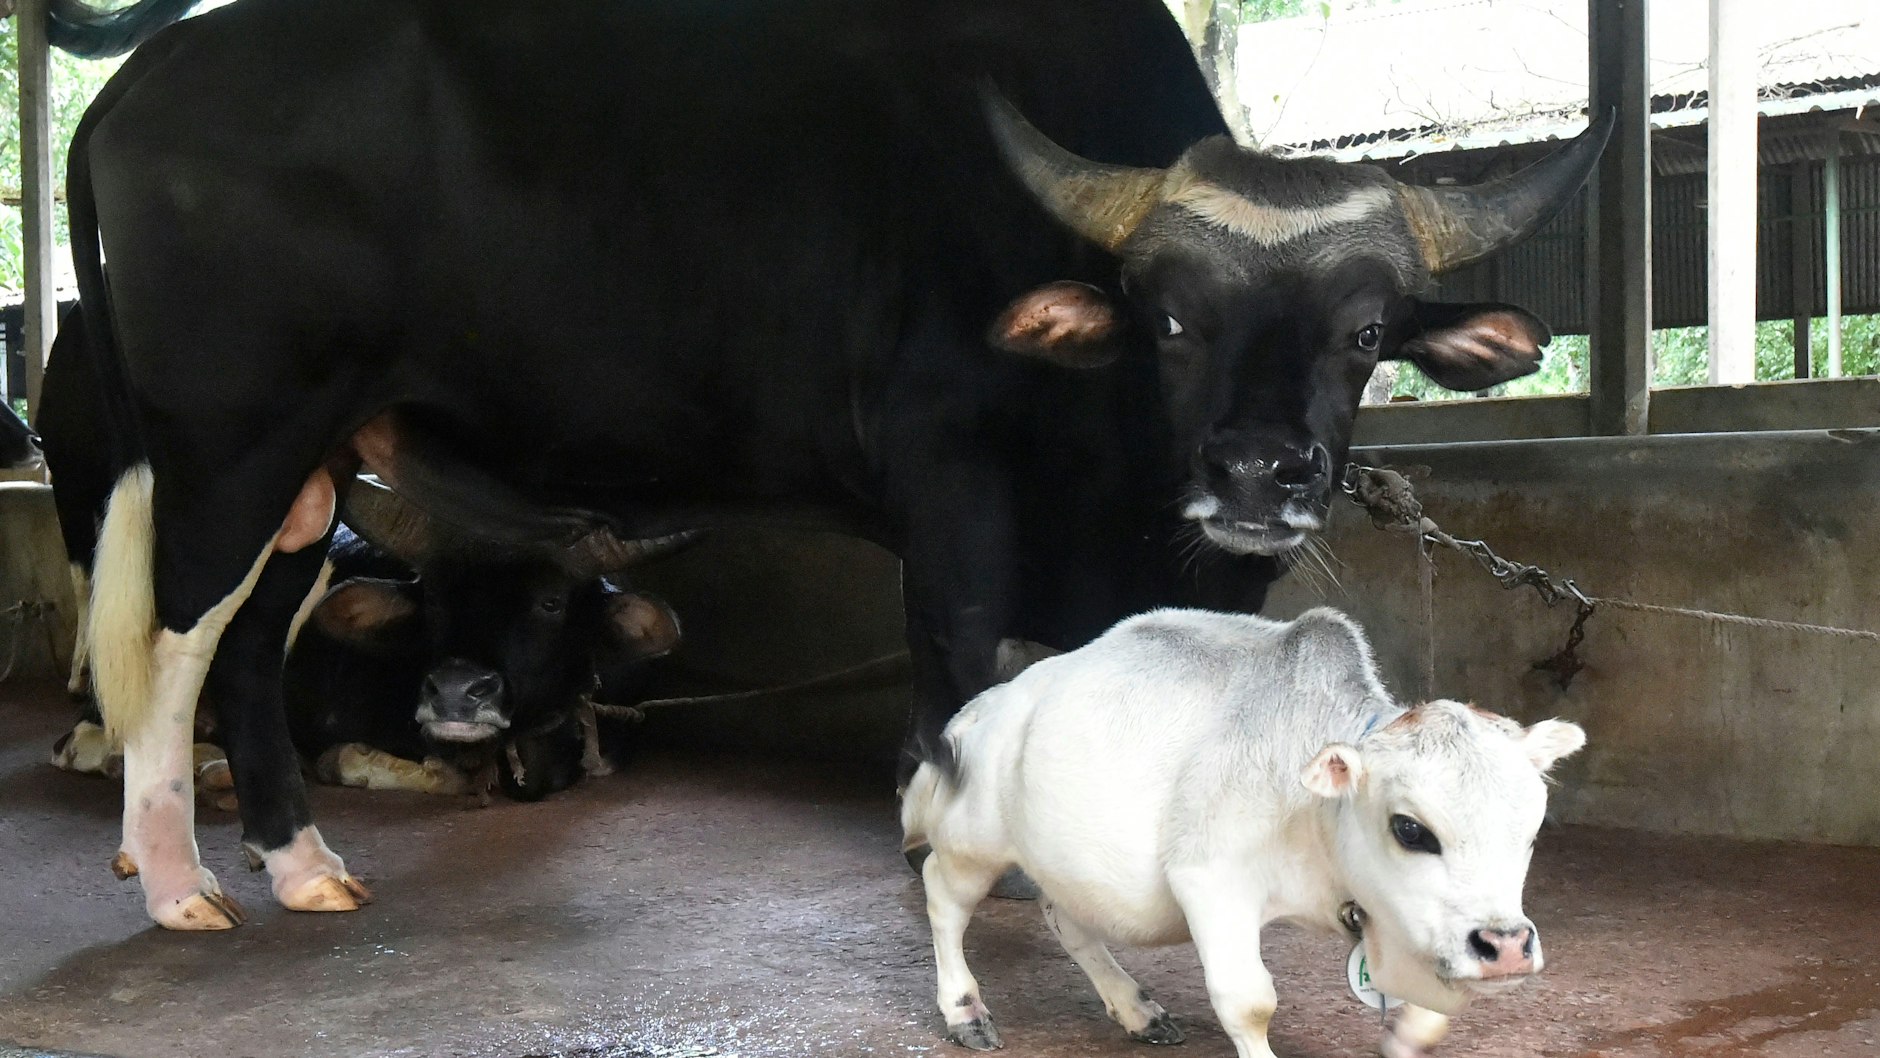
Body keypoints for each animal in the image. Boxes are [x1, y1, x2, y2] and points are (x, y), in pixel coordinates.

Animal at [57, 0, 1605, 928]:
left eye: (1364, 331)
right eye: (1168, 316)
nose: (1259, 474)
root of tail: (147, 74)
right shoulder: (953, 493)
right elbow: (959, 670)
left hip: (310, 467)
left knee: (249, 644)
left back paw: (300, 863)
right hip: (230, 438)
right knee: (178, 638)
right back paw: (176, 878)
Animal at [902, 607, 1586, 1058]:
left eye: (1532, 829)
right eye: (1410, 829)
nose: (1507, 946)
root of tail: (981, 708)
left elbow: (1425, 1019)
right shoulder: (1209, 877)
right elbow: (1248, 1001)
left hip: (1065, 860)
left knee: (1064, 917)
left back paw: (1136, 1008)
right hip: (972, 841)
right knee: (943, 895)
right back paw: (964, 1009)